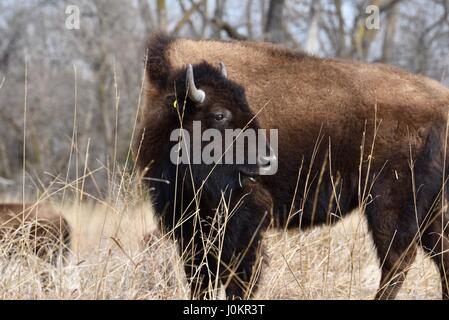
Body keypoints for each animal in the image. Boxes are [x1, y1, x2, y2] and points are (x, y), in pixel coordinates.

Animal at [135, 33, 448, 300]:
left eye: (248, 109)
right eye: (220, 115)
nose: (267, 160)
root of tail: (442, 103)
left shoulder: (243, 217)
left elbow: (238, 275)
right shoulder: (189, 224)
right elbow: (201, 277)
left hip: (389, 204)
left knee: (397, 261)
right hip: (431, 211)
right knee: (440, 256)